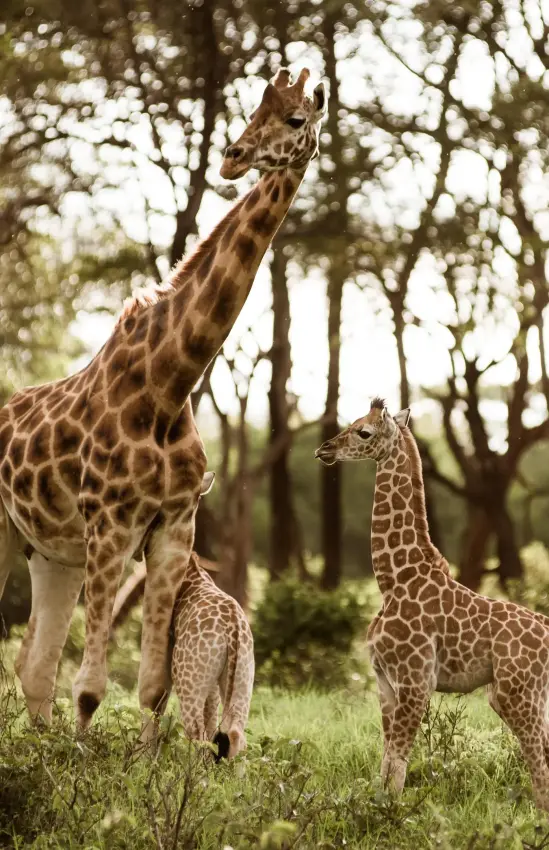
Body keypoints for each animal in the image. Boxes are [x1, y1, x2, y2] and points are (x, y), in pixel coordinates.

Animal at [0, 66, 326, 735]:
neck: (171, 383)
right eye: (253, 109)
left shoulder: (174, 525)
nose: (233, 158)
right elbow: (91, 686)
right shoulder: (110, 524)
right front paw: (83, 759)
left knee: (33, 665)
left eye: (295, 118)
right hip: (8, 530)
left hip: (52, 553)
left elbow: (151, 686)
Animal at [169, 548, 254, 761]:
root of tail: (232, 625)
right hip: (243, 676)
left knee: (196, 732)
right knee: (236, 733)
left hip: (187, 684)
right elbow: (212, 721)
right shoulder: (214, 684)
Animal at [315, 398, 549, 812]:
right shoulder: (385, 683)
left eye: (363, 432)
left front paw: (391, 815)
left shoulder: (415, 680)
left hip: (516, 693)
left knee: (538, 759)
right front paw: (379, 809)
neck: (394, 579)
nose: (324, 449)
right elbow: (387, 762)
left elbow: (399, 762)